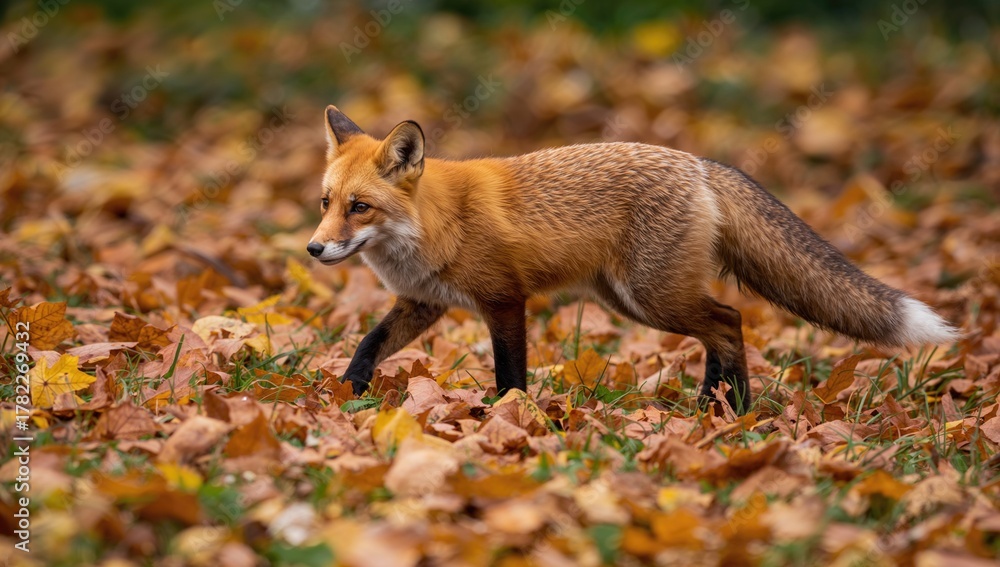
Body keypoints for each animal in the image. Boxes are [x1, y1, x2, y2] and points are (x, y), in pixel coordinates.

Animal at [307, 105, 958, 413]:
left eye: (360, 207)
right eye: (326, 202)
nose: (315, 248)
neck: (438, 222)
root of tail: (698, 163)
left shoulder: (504, 299)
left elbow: (510, 372)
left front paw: (507, 415)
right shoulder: (423, 303)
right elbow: (369, 343)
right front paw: (347, 393)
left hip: (650, 297)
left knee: (728, 320)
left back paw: (732, 409)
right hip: (632, 301)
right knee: (721, 329)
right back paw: (716, 407)